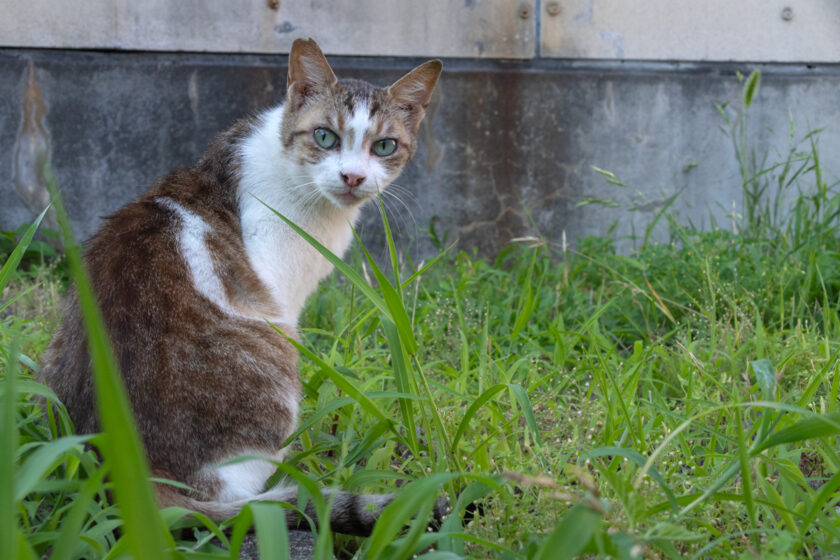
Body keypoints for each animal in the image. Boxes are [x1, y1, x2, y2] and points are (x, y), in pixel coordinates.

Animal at [38, 37, 442, 536]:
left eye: (385, 146)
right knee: (244, 499)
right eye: (325, 137)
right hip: (275, 355)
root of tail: (134, 476)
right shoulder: (279, 294)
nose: (352, 177)